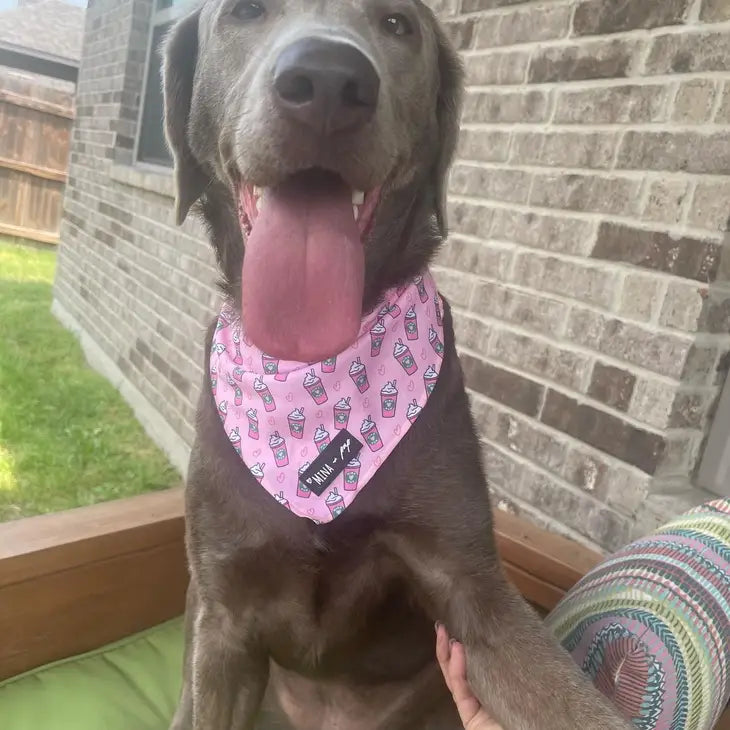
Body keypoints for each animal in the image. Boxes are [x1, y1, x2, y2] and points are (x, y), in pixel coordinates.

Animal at [162, 1, 628, 728]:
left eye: (398, 24)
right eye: (244, 11)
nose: (329, 80)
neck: (318, 379)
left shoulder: (472, 588)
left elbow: (571, 702)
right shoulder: (224, 613)